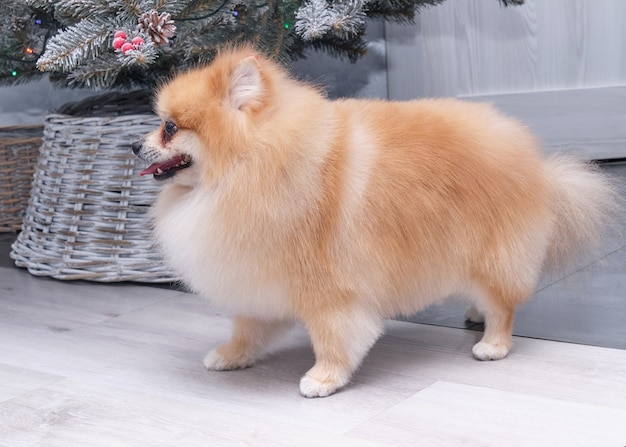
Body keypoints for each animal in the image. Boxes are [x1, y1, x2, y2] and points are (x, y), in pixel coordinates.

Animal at [129, 45, 616, 398]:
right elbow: (247, 326)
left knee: (504, 305)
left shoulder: (328, 290)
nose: (134, 145)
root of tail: (537, 165)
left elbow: (334, 337)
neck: (246, 171)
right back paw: (475, 313)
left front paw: (324, 378)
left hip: (490, 251)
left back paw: (493, 342)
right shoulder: (254, 274)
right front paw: (232, 355)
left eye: (169, 127)